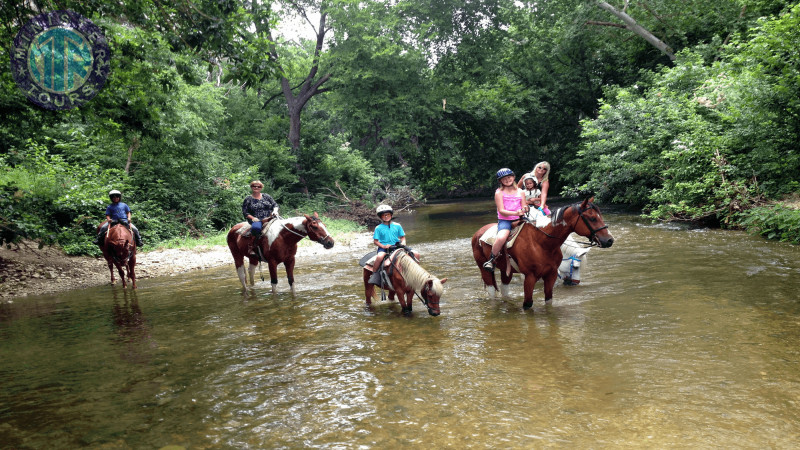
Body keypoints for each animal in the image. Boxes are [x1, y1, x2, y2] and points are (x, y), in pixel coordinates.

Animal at [472, 197, 616, 310]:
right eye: (592, 218)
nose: (609, 240)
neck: (541, 242)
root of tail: (478, 232)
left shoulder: (551, 274)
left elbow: (549, 301)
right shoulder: (529, 277)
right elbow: (528, 304)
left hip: (505, 270)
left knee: (504, 289)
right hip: (483, 268)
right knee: (491, 291)